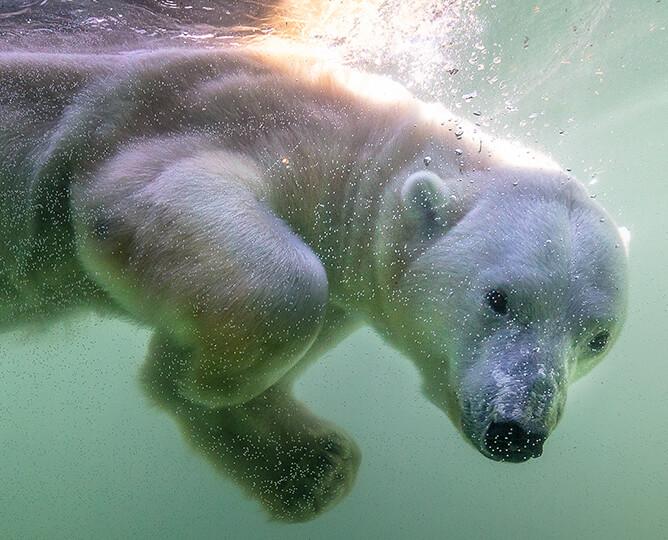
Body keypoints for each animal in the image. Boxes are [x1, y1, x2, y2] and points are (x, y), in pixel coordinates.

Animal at [0, 43, 628, 522]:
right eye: (498, 300)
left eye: (596, 338)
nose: (518, 430)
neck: (358, 141)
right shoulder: (204, 115)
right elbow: (145, 197)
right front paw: (208, 381)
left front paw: (309, 466)